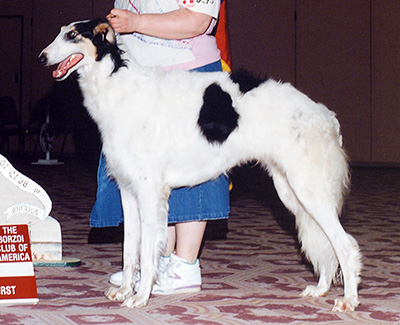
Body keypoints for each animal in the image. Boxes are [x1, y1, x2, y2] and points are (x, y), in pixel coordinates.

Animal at [39, 18, 360, 312]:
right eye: (59, 32)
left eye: (72, 35)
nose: (41, 57)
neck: (119, 88)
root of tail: (324, 116)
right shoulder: (128, 193)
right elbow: (130, 250)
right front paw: (125, 291)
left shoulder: (150, 193)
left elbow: (146, 251)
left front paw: (140, 297)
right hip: (292, 192)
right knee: (326, 244)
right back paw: (320, 289)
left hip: (309, 190)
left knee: (344, 244)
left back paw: (349, 300)